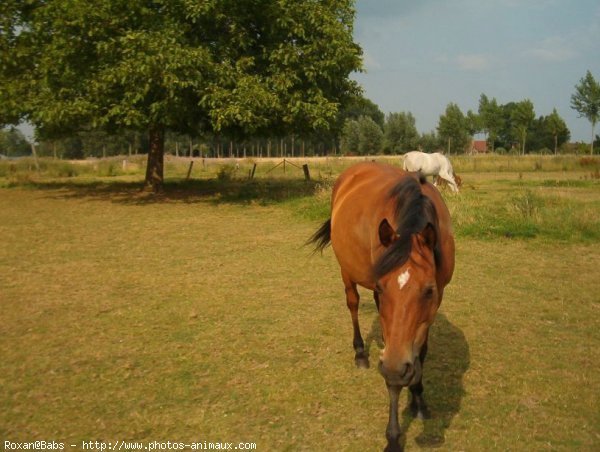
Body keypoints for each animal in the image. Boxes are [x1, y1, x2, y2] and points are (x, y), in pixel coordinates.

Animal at [310, 163, 454, 452]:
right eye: (379, 287)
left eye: (429, 290)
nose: (397, 367)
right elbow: (392, 375)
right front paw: (393, 436)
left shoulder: (432, 309)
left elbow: (420, 354)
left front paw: (419, 401)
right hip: (346, 271)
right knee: (352, 304)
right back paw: (360, 353)